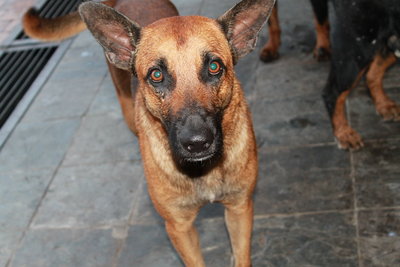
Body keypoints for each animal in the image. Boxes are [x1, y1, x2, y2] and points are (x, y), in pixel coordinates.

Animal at [23, 0, 276, 266]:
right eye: (156, 75)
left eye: (214, 67)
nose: (197, 143)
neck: (202, 171)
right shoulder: (179, 227)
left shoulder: (240, 209)